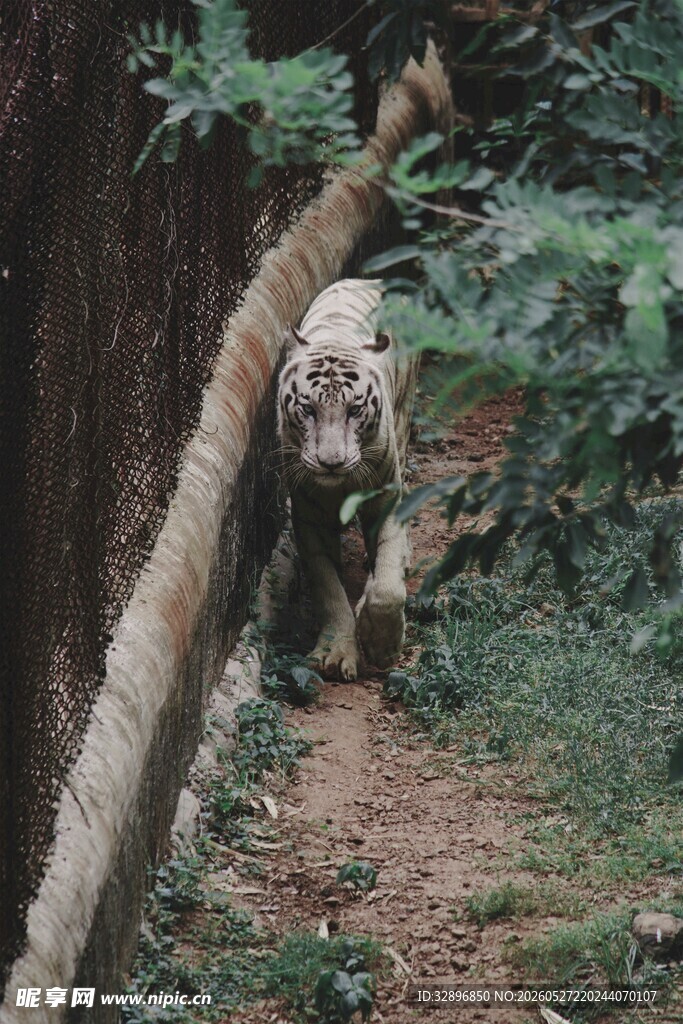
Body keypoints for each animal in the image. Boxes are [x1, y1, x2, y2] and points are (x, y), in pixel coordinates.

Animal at [277, 278, 418, 681]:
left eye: (354, 410)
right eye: (308, 409)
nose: (331, 463)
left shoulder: (386, 498)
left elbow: (387, 587)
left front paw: (382, 645)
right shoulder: (309, 515)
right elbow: (327, 586)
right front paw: (336, 652)